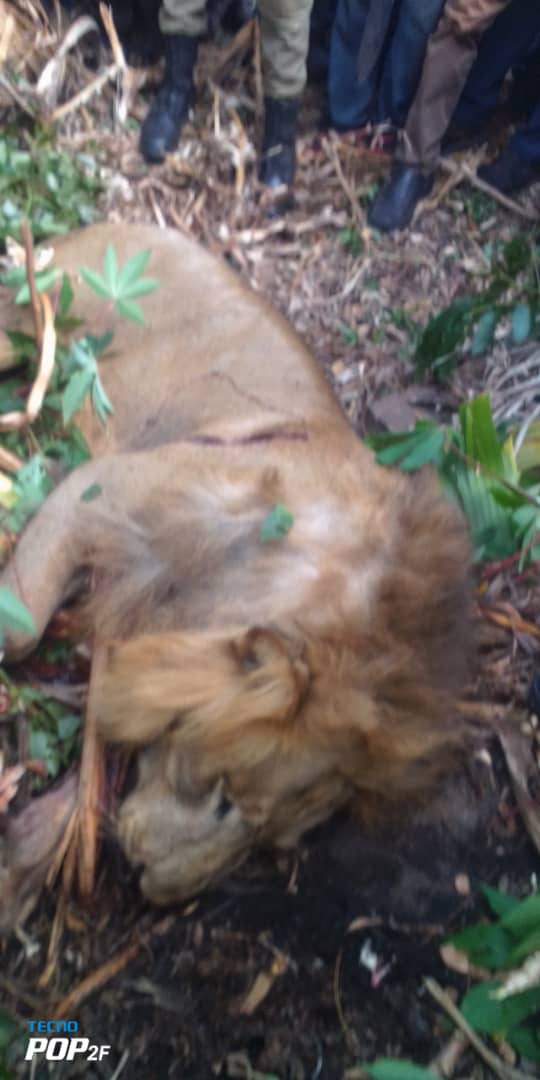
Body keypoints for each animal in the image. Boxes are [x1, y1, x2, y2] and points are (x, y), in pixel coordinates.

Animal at [0, 223, 471, 911]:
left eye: (266, 843)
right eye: (224, 795)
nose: (154, 886)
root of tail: (122, 225)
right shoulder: (106, 488)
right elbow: (18, 626)